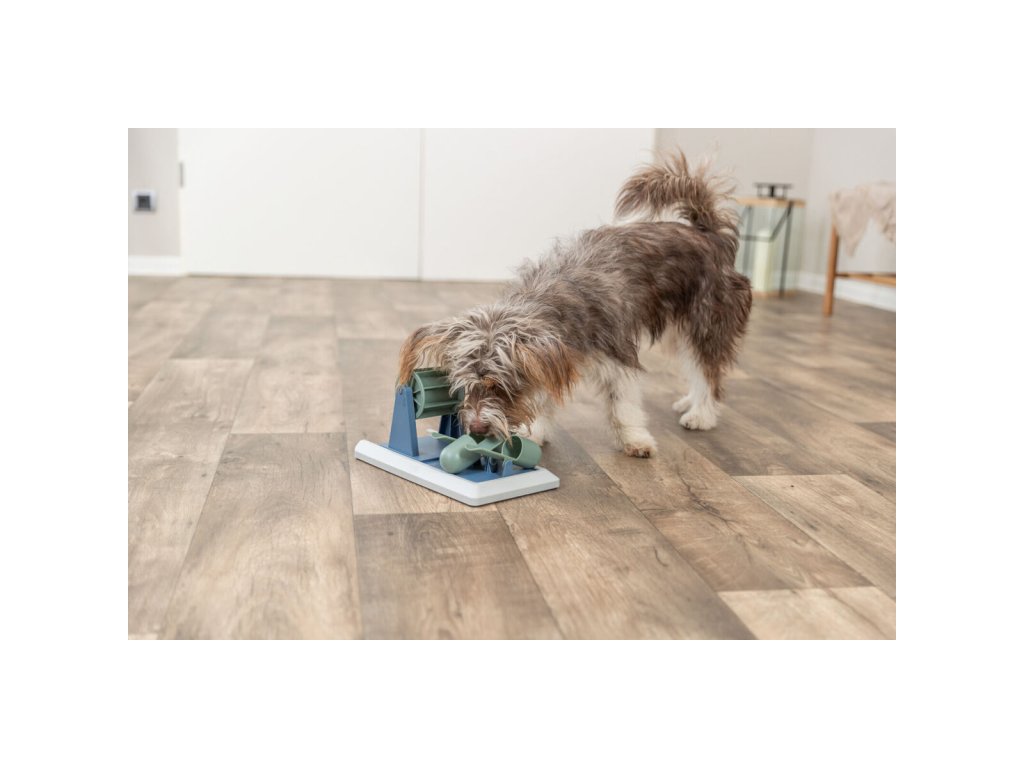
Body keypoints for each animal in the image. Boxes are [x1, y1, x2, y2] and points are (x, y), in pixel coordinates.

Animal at [396, 152, 752, 458]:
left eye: (498, 387)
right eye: (464, 388)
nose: (476, 429)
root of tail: (708, 233)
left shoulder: (618, 358)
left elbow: (623, 406)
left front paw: (635, 440)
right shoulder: (552, 362)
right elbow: (542, 398)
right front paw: (536, 432)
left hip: (706, 321)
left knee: (708, 371)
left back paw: (702, 414)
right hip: (681, 329)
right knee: (697, 367)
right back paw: (689, 403)